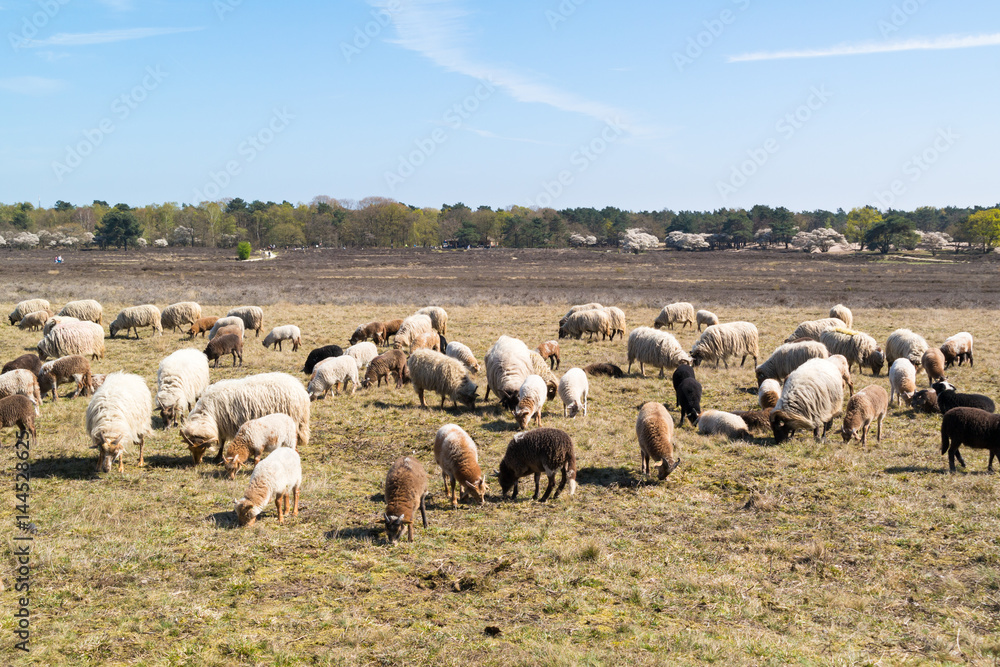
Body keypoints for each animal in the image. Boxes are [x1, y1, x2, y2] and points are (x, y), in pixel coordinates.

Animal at [180, 372, 310, 465]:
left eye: (202, 449)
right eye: (190, 449)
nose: (197, 463)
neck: (207, 413)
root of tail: (300, 389)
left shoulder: (223, 425)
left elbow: (222, 442)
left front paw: (217, 457)